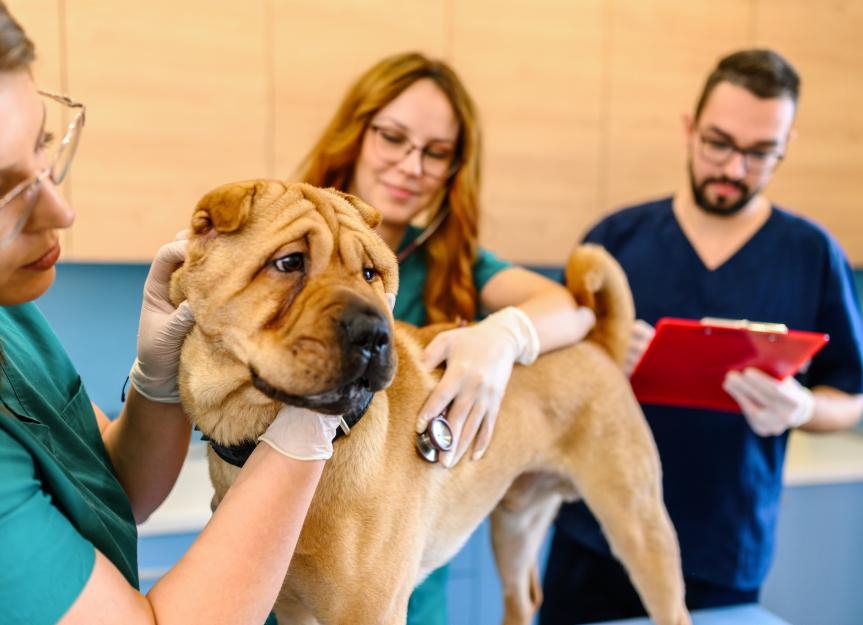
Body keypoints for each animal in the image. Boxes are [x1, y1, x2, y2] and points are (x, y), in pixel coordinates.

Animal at [170, 180, 691, 625]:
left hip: (637, 522)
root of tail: (599, 343)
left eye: (370, 273)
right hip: (516, 524)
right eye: (289, 263)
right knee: (523, 598)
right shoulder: (292, 608)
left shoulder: (372, 611)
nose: (374, 333)